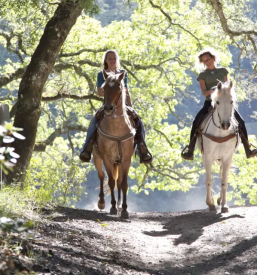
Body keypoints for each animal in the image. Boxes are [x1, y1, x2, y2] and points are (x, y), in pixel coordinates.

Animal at [92, 71, 136, 220]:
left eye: (118, 88)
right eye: (104, 88)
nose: (108, 108)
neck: (117, 129)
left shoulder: (126, 159)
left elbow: (123, 183)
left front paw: (124, 210)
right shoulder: (107, 158)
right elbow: (110, 181)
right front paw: (112, 207)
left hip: (119, 162)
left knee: (119, 181)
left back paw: (119, 204)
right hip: (97, 157)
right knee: (101, 175)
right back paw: (102, 202)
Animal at [196, 81, 238, 215]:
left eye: (231, 101)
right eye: (218, 102)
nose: (225, 125)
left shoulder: (227, 158)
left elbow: (224, 181)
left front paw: (224, 205)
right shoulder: (208, 157)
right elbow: (209, 180)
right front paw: (210, 203)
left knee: (221, 175)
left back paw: (220, 200)